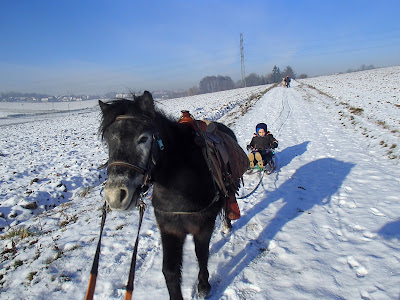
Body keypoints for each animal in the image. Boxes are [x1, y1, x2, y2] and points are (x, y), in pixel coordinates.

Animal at [99, 91, 239, 300]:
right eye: (108, 141)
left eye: (143, 139)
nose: (115, 195)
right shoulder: (169, 229)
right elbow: (170, 270)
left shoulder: (203, 227)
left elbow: (201, 254)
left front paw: (203, 286)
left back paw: (227, 226)